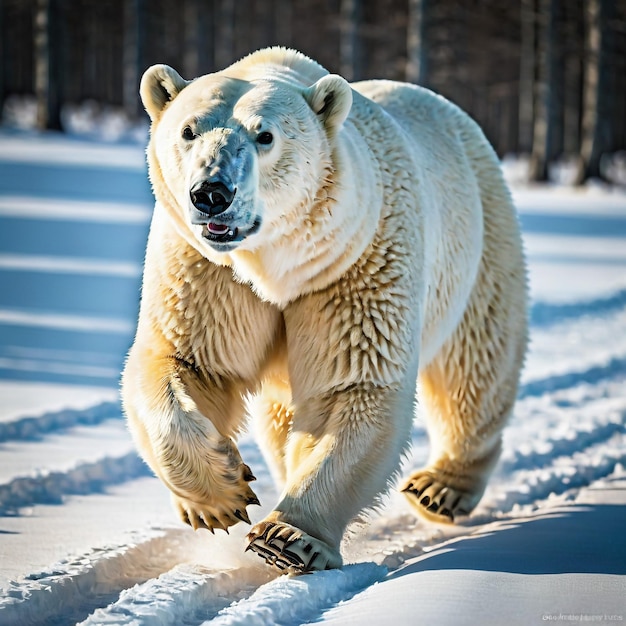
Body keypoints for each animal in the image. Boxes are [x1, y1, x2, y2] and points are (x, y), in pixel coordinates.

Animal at [120, 46, 520, 572]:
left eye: (265, 135)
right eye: (188, 131)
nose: (211, 193)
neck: (274, 264)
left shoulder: (354, 265)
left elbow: (349, 386)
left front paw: (287, 537)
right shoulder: (208, 271)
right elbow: (185, 361)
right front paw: (220, 495)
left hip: (482, 244)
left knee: (474, 366)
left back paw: (439, 488)